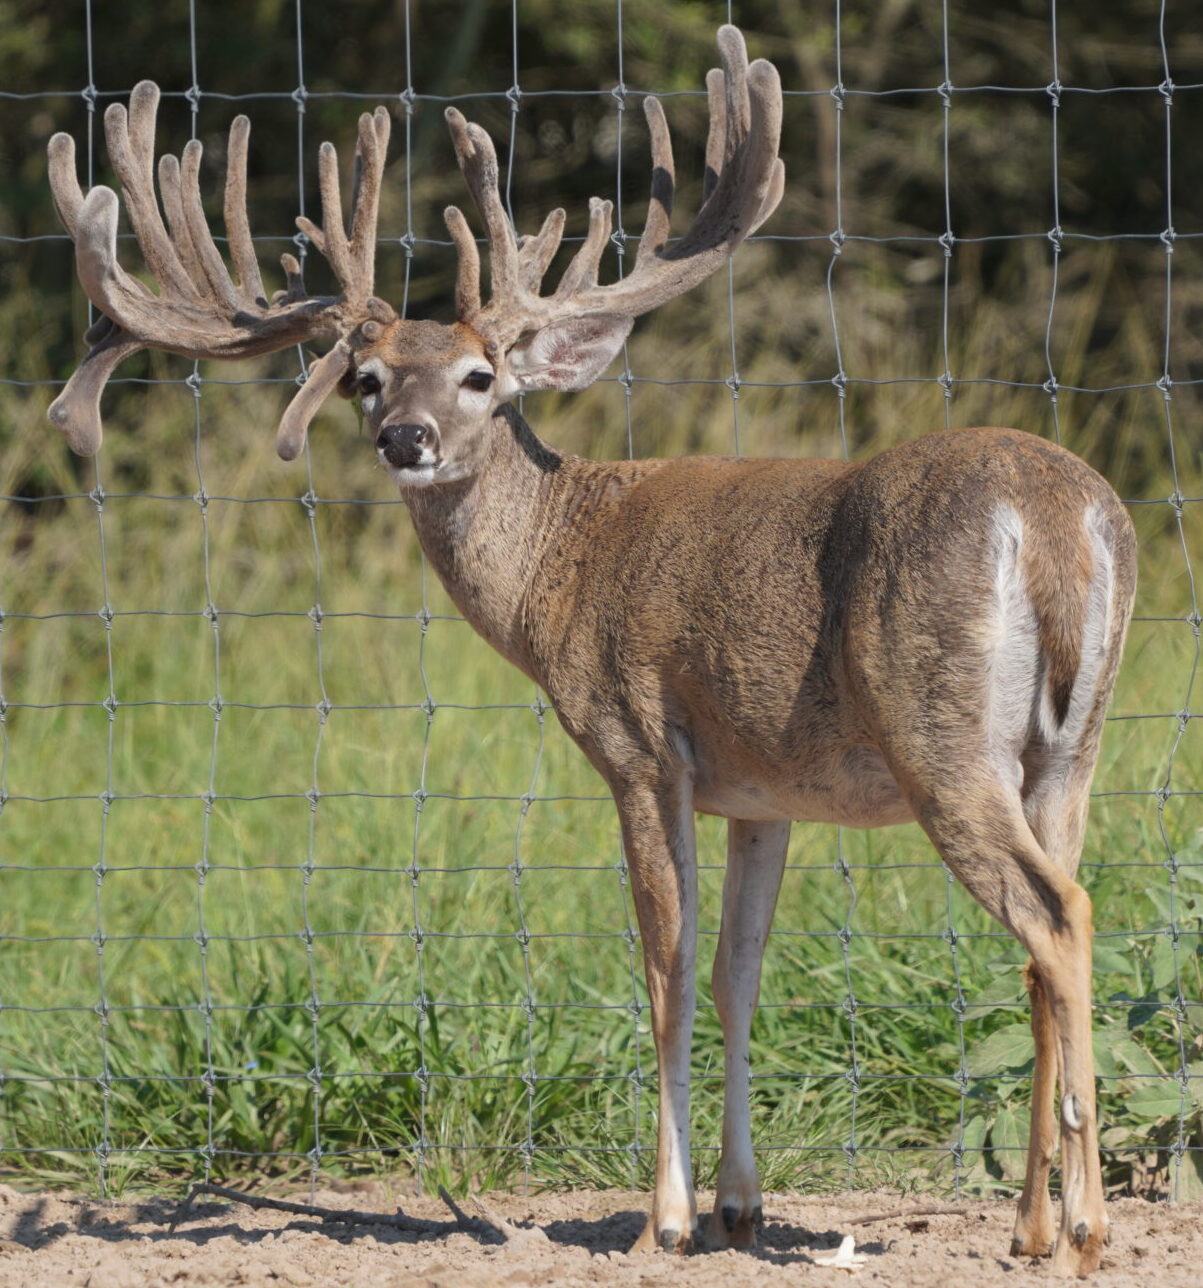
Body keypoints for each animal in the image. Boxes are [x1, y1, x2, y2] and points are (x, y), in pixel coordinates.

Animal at [46, 25, 1134, 1276]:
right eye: (366, 378)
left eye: (481, 376)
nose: (404, 437)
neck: (561, 559)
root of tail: (1060, 516)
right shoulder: (762, 789)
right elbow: (738, 970)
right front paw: (739, 1204)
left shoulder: (639, 746)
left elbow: (665, 966)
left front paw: (665, 1214)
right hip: (1068, 750)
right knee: (1045, 935)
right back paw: (1030, 1225)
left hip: (939, 733)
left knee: (1060, 916)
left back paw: (1086, 1224)